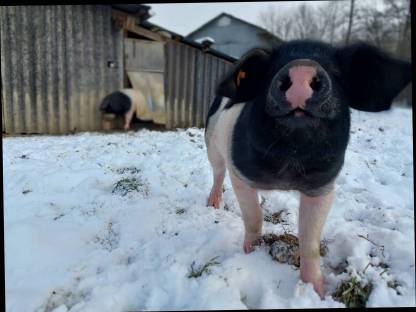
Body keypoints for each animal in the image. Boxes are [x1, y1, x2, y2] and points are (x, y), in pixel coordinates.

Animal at [203, 40, 412, 298]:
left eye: (336, 71)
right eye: (272, 68)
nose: (302, 67)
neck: (290, 162)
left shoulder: (323, 187)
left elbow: (310, 240)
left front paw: (317, 292)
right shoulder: (240, 174)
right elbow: (253, 216)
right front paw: (250, 252)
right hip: (212, 142)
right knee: (217, 172)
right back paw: (212, 204)